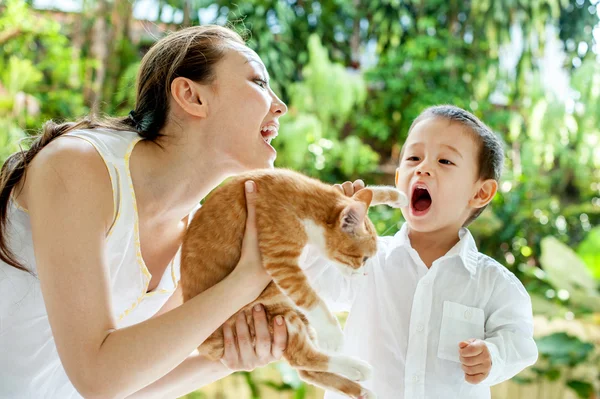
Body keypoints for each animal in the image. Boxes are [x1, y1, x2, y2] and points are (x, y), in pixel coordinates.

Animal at [179, 170, 408, 399]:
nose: (365, 273)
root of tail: (204, 346)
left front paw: (398, 196)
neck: (300, 199)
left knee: (306, 371)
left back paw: (359, 388)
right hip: (277, 320)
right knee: (304, 358)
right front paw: (333, 335)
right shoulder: (281, 263)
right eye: (364, 259)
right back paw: (356, 368)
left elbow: (360, 192)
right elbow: (310, 298)